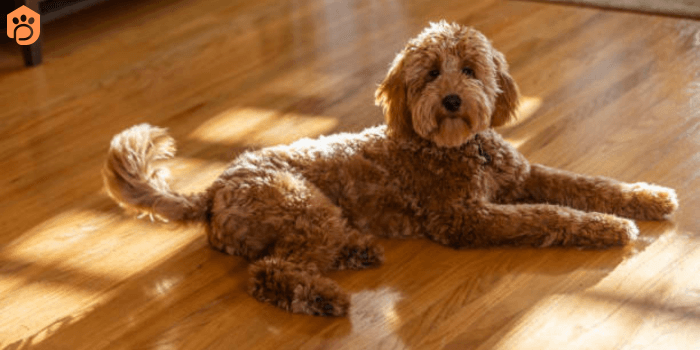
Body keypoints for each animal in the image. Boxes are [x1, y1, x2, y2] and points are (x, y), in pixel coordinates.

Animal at [104, 21, 680, 318]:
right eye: (429, 75)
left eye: (470, 70)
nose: (451, 100)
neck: (461, 148)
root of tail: (213, 190)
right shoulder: (464, 217)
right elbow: (549, 216)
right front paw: (609, 228)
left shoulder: (522, 175)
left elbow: (588, 184)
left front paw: (647, 198)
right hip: (303, 207)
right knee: (271, 272)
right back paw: (326, 296)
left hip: (314, 218)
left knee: (293, 258)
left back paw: (355, 251)